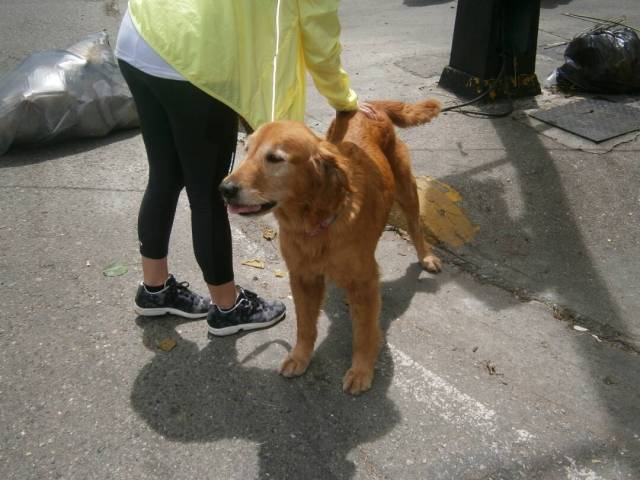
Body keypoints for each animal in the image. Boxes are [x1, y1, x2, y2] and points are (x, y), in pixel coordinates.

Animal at [219, 100, 440, 394]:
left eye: (275, 158)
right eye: (247, 150)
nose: (225, 188)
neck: (314, 223)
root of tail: (372, 106)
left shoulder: (364, 282)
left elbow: (364, 333)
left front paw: (361, 370)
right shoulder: (302, 277)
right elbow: (305, 325)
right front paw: (301, 357)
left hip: (407, 188)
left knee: (415, 225)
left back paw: (426, 256)